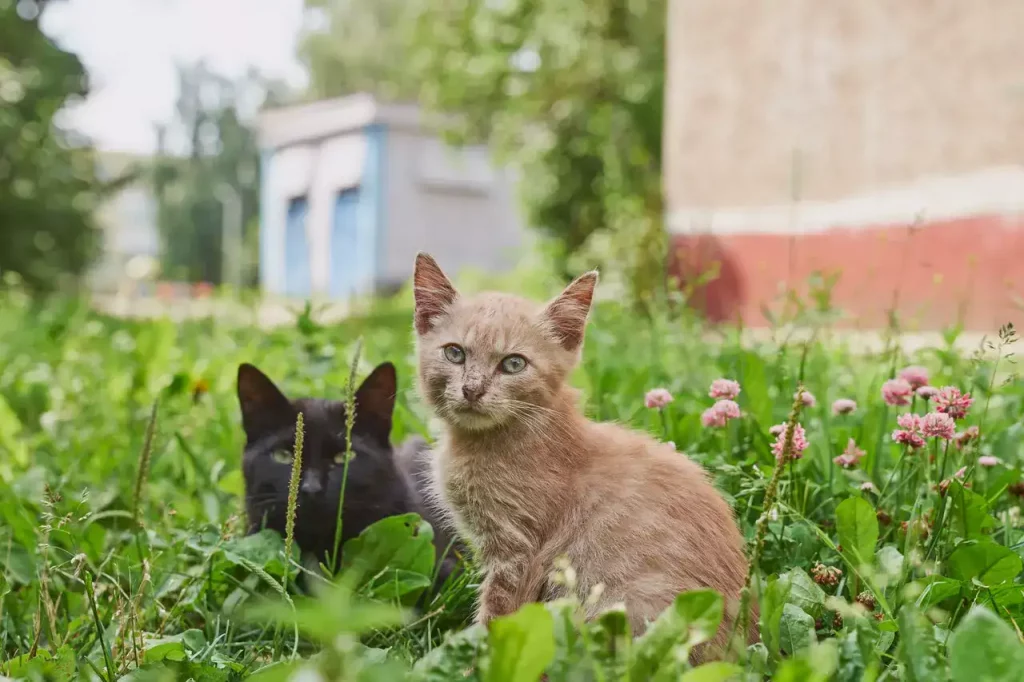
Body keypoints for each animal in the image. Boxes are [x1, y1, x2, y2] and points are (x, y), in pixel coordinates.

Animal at [411, 251, 757, 655]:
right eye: (455, 353)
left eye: (513, 363)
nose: (472, 389)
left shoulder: (518, 553)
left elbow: (498, 616)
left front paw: (477, 659)